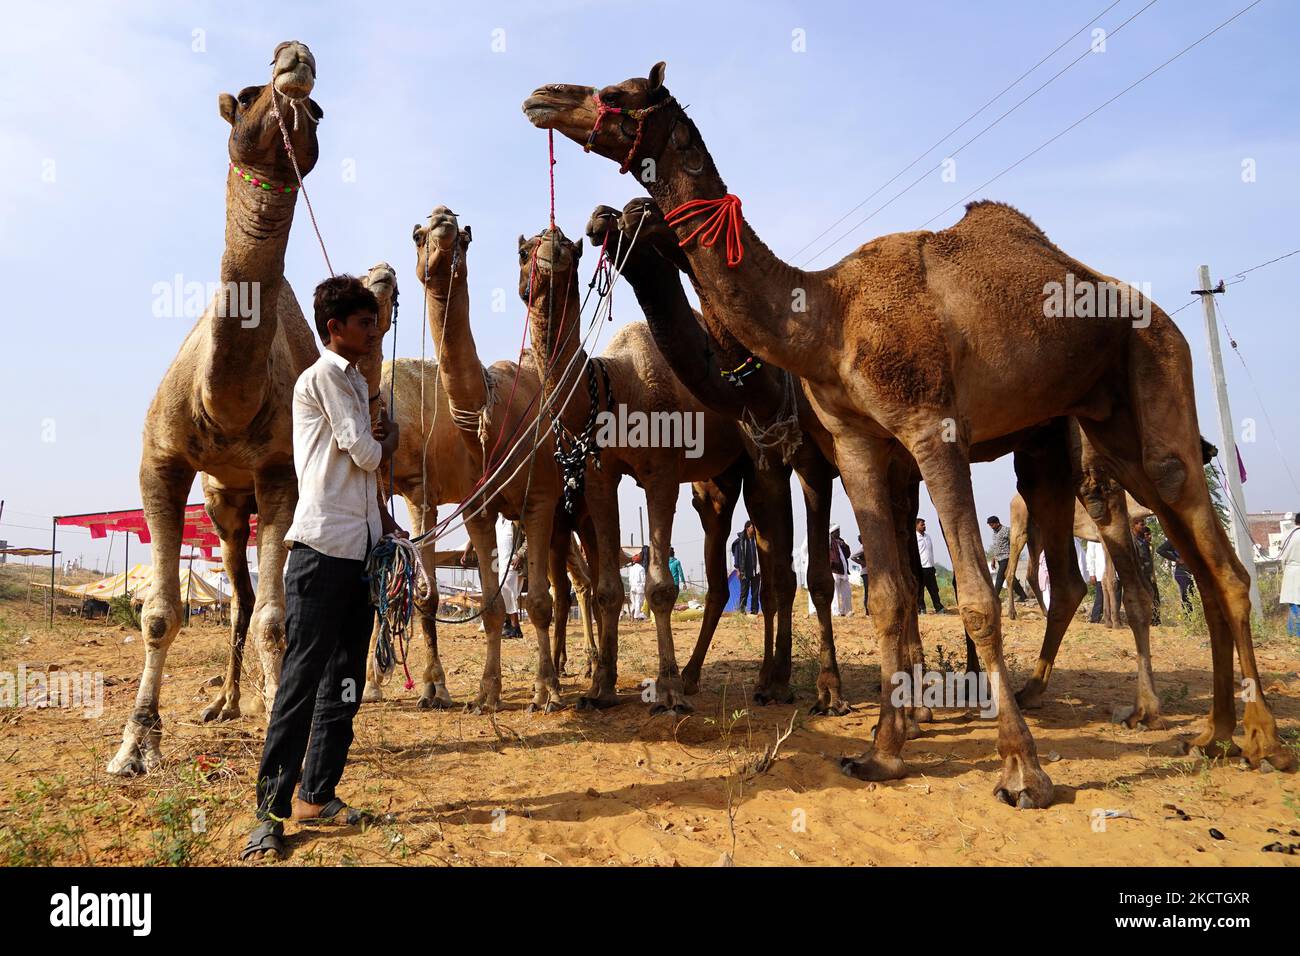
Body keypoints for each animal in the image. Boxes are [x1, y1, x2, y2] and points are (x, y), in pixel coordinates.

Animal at [109, 42, 327, 780]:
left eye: (320, 111)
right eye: (250, 91)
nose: (297, 57)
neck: (226, 403)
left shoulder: (282, 472)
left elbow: (276, 620)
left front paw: (283, 739)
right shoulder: (162, 462)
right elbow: (159, 614)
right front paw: (135, 744)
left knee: (259, 604)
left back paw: (254, 699)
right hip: (227, 508)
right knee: (236, 597)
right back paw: (226, 703)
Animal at [514, 222, 748, 712]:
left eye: (573, 249)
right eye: (524, 252)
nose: (551, 252)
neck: (614, 386)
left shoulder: (660, 472)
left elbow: (660, 587)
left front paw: (667, 690)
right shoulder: (600, 476)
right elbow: (607, 590)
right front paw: (600, 688)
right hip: (715, 480)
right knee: (718, 564)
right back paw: (694, 674)